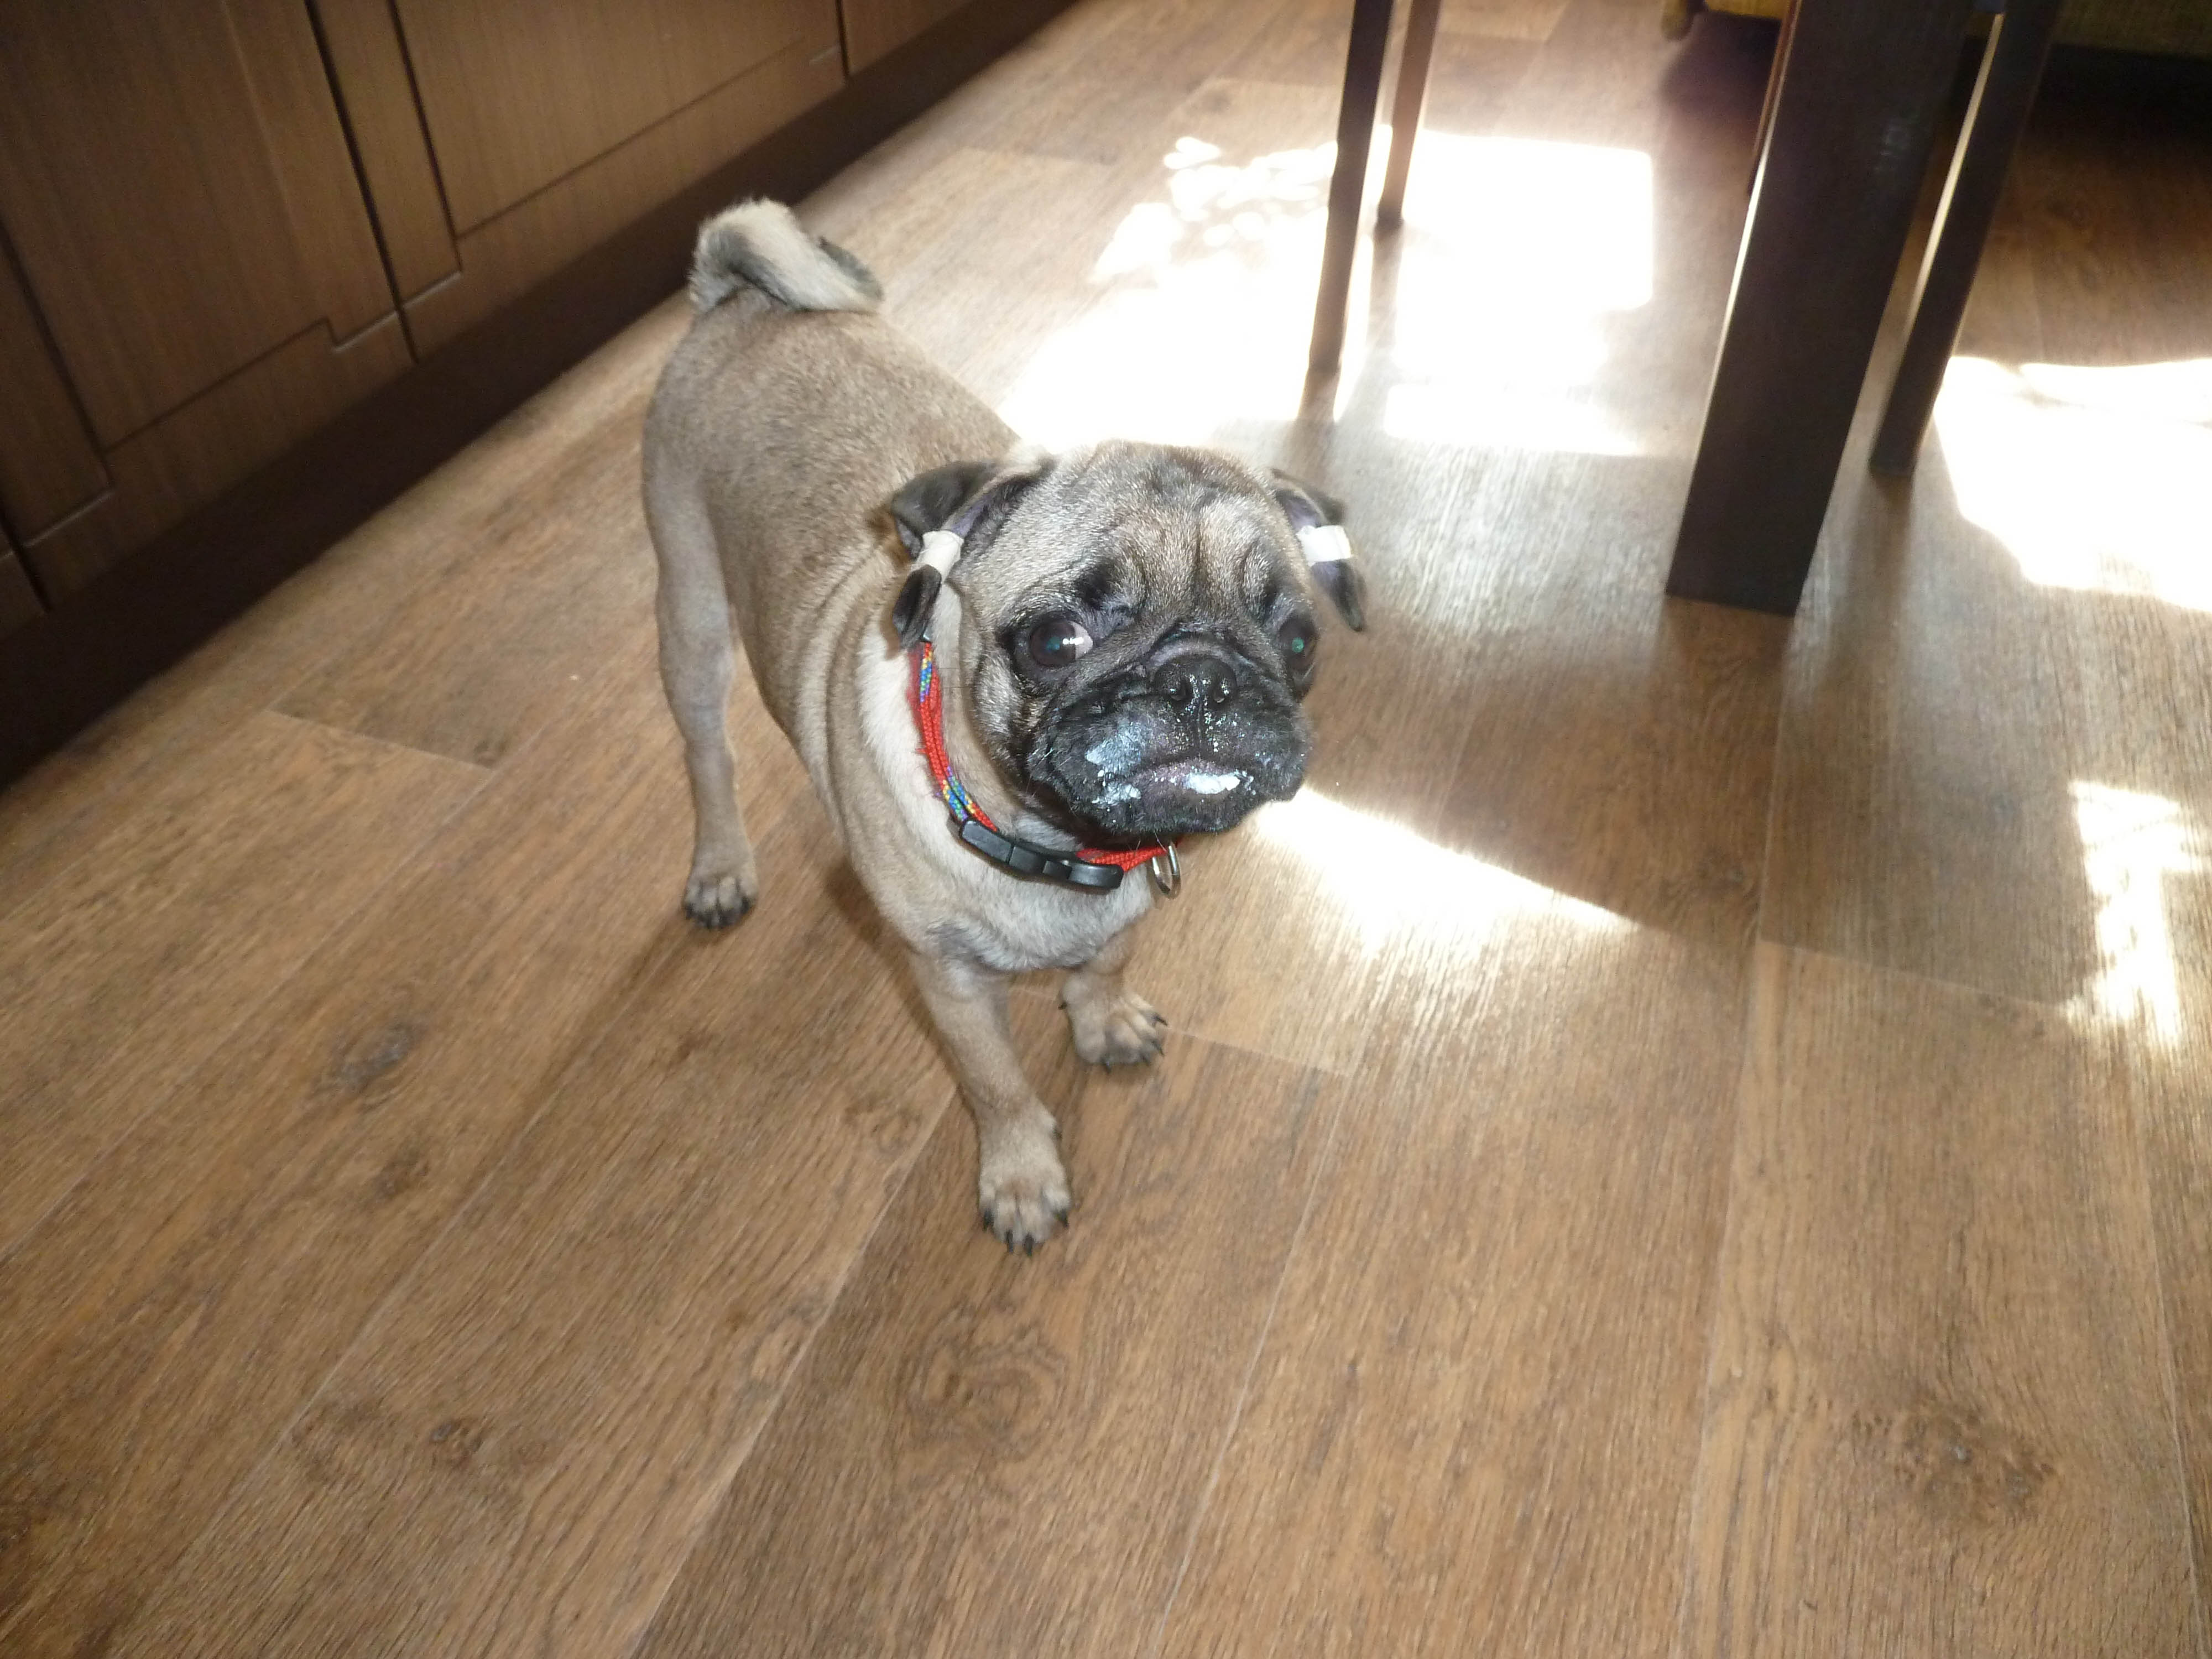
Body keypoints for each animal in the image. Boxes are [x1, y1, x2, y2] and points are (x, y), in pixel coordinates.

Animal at [642, 200, 1363, 1251]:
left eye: (1299, 641)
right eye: (1057, 640)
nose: (1201, 680)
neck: (1062, 848)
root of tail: (739, 298)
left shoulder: (1121, 915)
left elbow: (1104, 968)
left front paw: (1102, 1024)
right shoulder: (949, 984)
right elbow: (998, 1088)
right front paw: (1022, 1176)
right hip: (690, 616)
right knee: (707, 756)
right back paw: (720, 868)